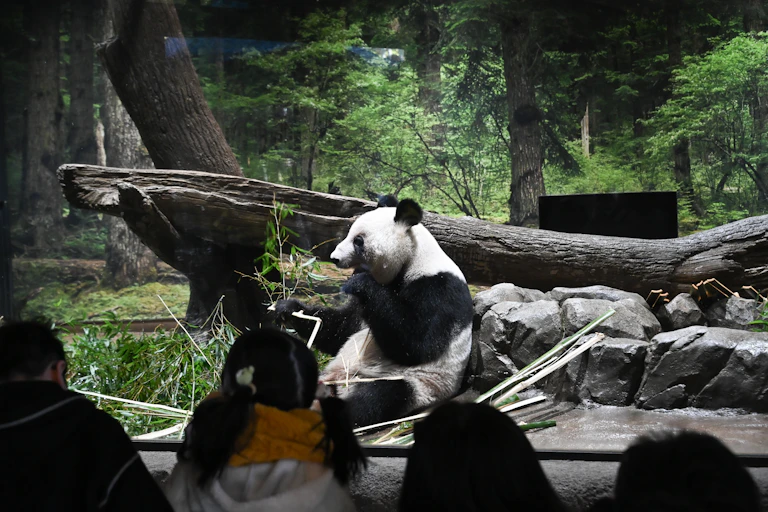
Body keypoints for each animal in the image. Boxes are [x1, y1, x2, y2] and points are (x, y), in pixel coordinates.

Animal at [274, 198, 474, 427]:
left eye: (358, 240)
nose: (334, 258)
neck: (413, 258)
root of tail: (338, 385)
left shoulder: (439, 288)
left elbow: (418, 344)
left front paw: (358, 282)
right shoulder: (365, 308)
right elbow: (343, 328)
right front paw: (288, 309)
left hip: (417, 383)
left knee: (378, 397)